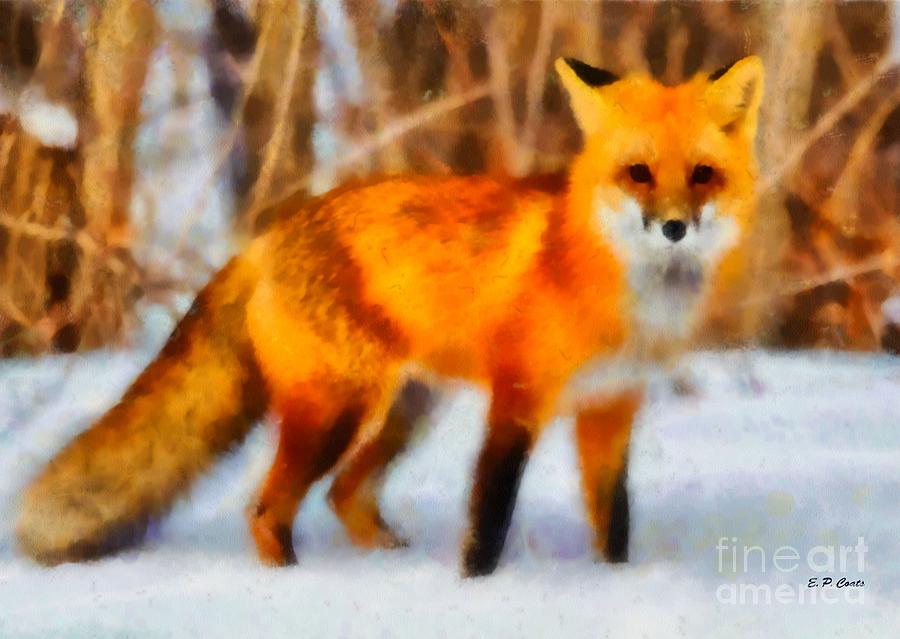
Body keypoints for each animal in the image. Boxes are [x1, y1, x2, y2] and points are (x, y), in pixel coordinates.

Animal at [16, 55, 764, 577]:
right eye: (638, 173)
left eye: (702, 175)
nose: (673, 227)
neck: (616, 287)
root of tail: (270, 235)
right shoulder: (518, 398)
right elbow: (488, 519)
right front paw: (477, 588)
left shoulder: (610, 407)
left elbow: (614, 525)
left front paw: (615, 583)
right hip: (337, 409)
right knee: (268, 508)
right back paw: (290, 584)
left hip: (409, 407)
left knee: (344, 493)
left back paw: (389, 561)